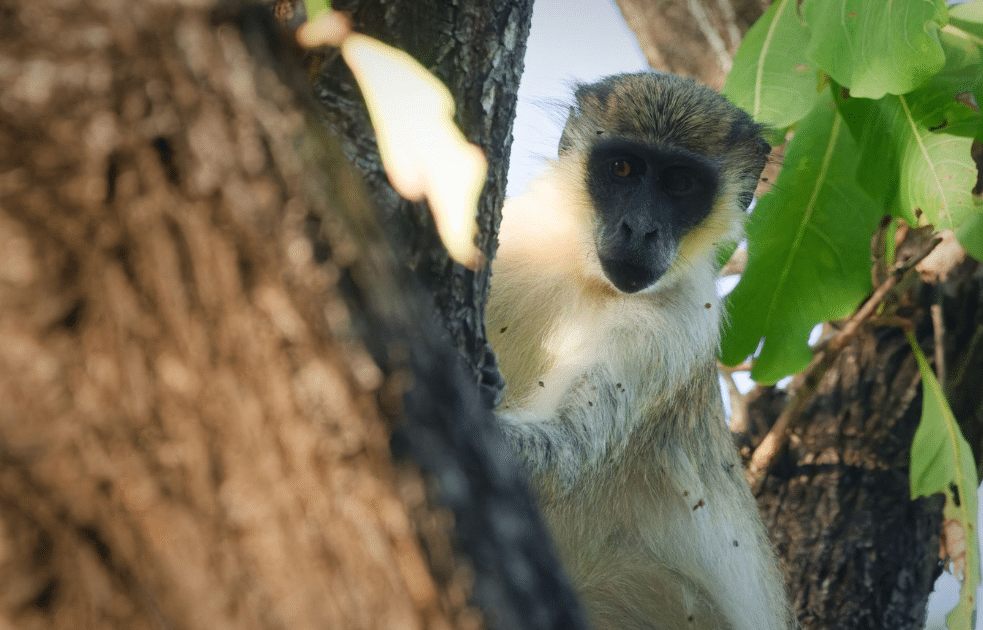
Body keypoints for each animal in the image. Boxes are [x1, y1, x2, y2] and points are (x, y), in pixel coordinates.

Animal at [486, 72, 796, 630]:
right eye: (623, 168)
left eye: (680, 184)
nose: (641, 229)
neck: (583, 277)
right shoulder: (521, 235)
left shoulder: (673, 328)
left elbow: (563, 458)